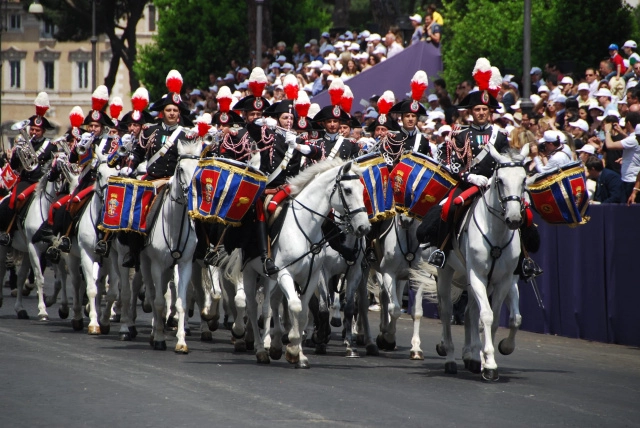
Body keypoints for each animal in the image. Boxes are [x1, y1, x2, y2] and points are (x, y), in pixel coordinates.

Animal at [139, 139, 201, 352]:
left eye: (199, 167)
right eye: (181, 168)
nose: (191, 193)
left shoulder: (185, 265)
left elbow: (181, 303)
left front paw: (181, 342)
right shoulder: (157, 265)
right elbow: (158, 302)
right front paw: (158, 338)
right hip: (146, 263)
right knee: (152, 295)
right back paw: (153, 333)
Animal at [230, 159, 370, 370]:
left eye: (363, 190)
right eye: (347, 190)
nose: (364, 227)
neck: (305, 227)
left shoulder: (311, 277)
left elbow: (303, 313)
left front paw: (299, 355)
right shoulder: (285, 273)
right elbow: (295, 307)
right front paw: (293, 348)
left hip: (271, 279)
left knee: (272, 304)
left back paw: (275, 345)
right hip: (250, 272)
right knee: (254, 308)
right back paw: (260, 349)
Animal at [418, 147, 528, 382]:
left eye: (524, 180)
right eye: (500, 180)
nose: (514, 219)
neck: (496, 234)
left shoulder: (504, 280)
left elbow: (500, 319)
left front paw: (493, 354)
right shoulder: (477, 275)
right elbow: (485, 315)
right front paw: (489, 364)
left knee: (470, 311)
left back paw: (472, 356)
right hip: (447, 272)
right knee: (446, 311)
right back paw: (450, 357)